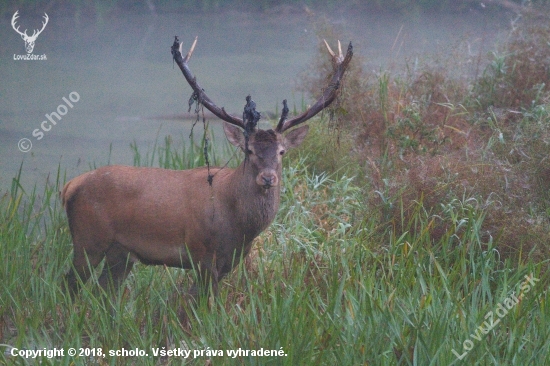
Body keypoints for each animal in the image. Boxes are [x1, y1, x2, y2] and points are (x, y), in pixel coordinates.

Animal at [60, 35, 354, 298]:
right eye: (248, 150)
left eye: (282, 151)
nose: (268, 178)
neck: (239, 227)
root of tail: (69, 186)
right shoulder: (202, 254)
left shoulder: (230, 261)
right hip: (88, 239)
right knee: (70, 284)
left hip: (121, 254)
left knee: (102, 291)